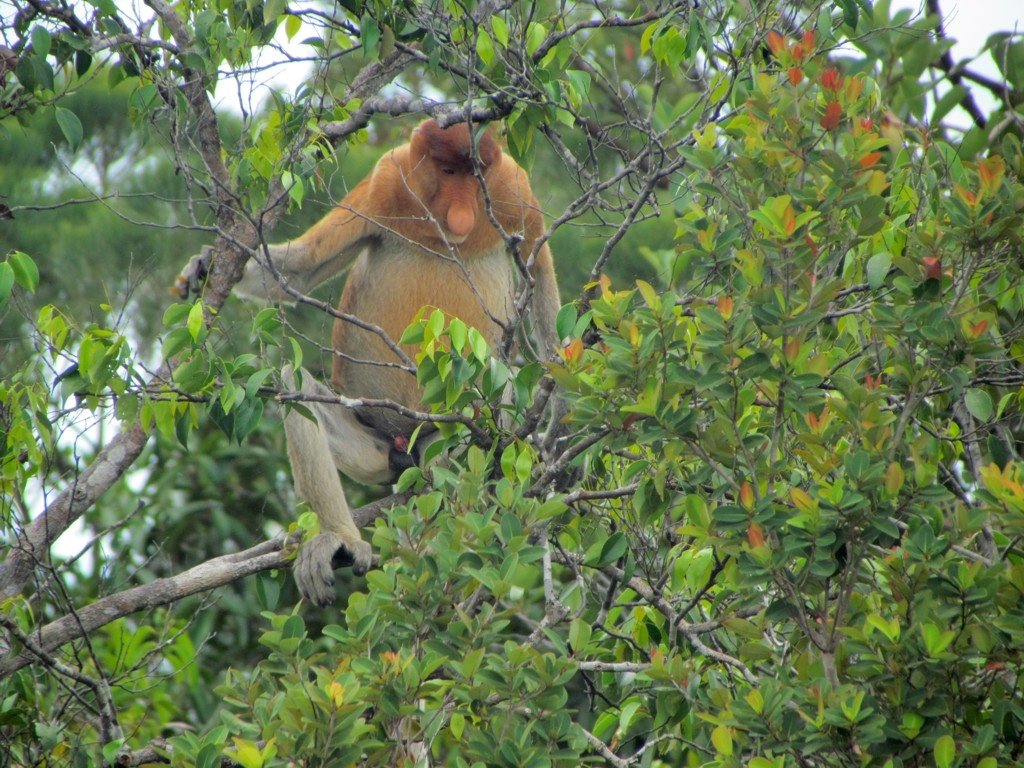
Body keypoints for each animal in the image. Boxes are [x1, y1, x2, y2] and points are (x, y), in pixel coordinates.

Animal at [176, 118, 561, 606]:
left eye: (475, 177)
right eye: (448, 172)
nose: (461, 213)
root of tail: (407, 450)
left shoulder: (514, 190)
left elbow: (541, 276)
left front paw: (560, 414)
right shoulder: (385, 183)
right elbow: (300, 269)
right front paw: (205, 264)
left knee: (502, 379)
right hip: (373, 450)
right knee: (292, 381)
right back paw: (341, 540)